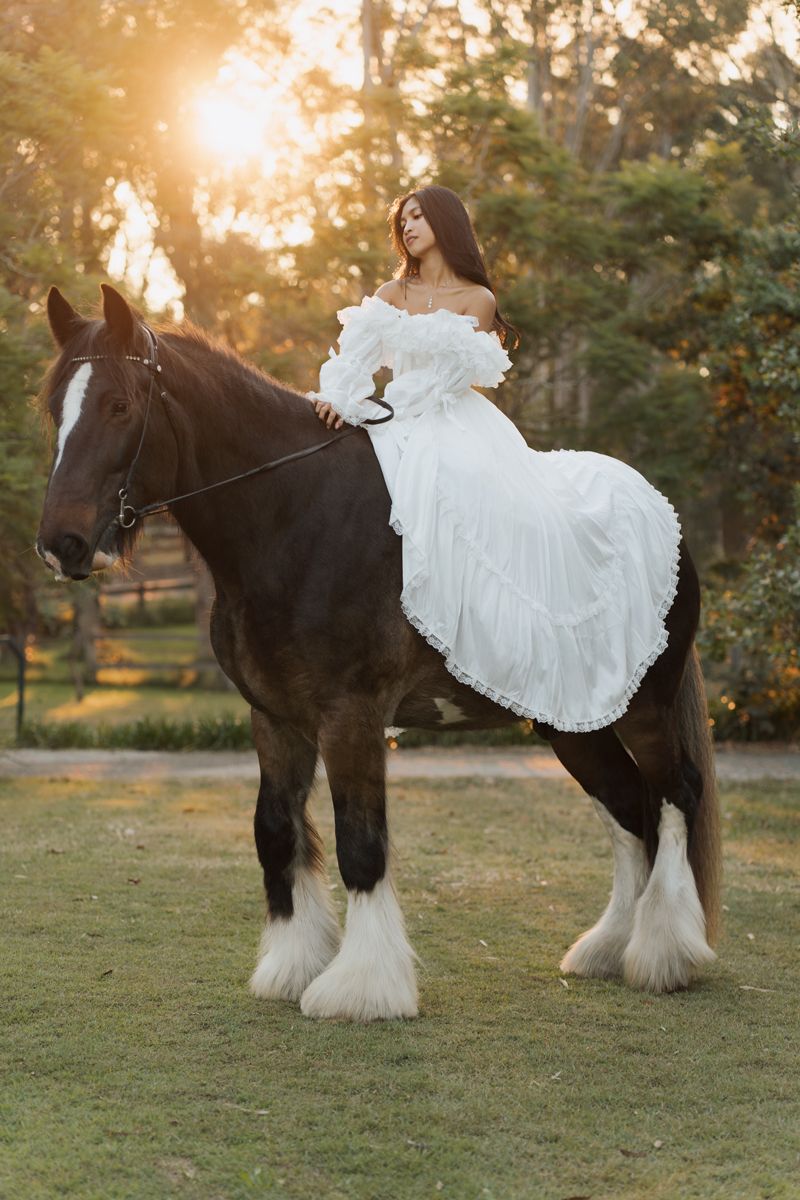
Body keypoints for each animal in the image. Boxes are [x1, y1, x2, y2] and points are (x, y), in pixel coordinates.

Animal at [36, 283, 721, 1021]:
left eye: (119, 405)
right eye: (55, 407)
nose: (61, 545)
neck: (295, 515)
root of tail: (663, 515)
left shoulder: (351, 716)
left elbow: (361, 845)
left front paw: (362, 987)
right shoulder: (274, 717)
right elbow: (276, 831)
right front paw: (291, 964)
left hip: (643, 708)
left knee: (675, 794)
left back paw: (665, 954)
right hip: (575, 721)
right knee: (629, 808)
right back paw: (608, 948)